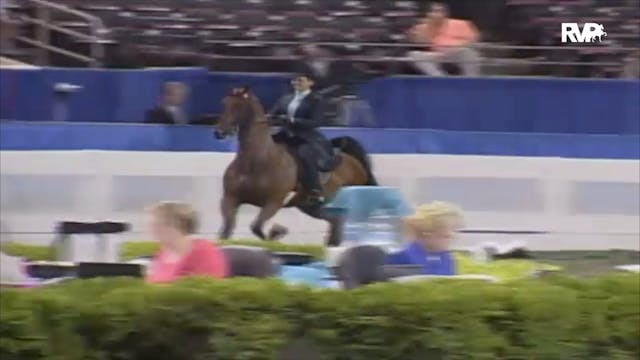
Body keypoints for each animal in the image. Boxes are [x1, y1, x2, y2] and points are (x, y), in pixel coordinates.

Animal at [215, 87, 378, 246]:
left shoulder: (273, 202)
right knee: (335, 220)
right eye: (224, 103)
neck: (256, 161)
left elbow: (256, 227)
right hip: (310, 206)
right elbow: (226, 232)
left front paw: (277, 232)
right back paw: (331, 243)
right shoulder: (230, 199)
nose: (219, 132)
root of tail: (353, 161)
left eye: (238, 106)